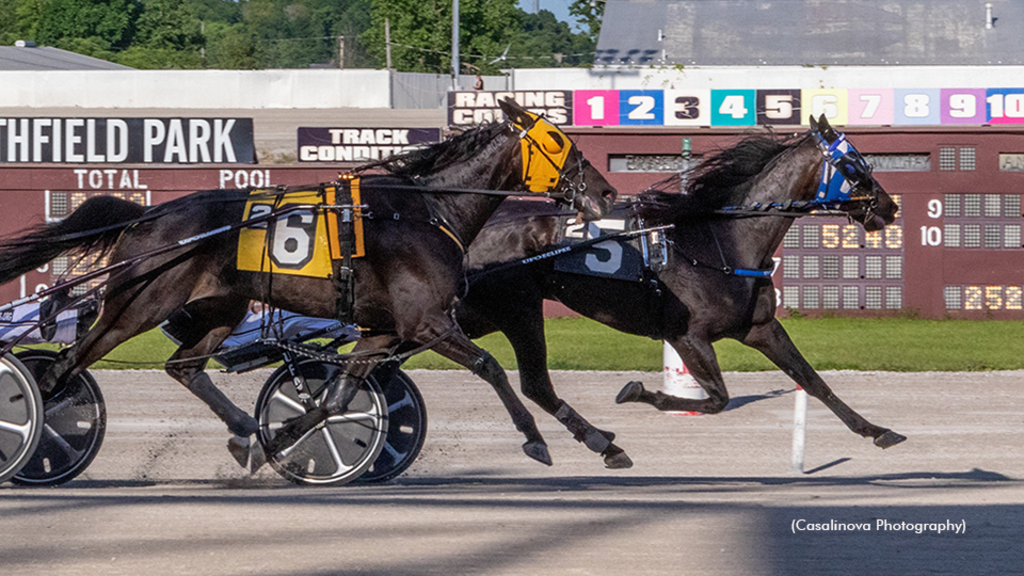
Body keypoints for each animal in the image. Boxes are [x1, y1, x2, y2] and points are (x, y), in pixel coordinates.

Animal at [0, 97, 614, 467]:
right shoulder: (428, 321)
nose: (607, 193)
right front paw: (536, 439)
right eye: (558, 143)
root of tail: (148, 214)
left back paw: (243, 427)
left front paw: (284, 438)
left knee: (184, 366)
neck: (425, 210)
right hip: (138, 302)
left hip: (220, 305)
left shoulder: (384, 331)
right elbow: (490, 367)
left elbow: (335, 396)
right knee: (64, 365)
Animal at [460, 114, 909, 463]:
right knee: (526, 379)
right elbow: (717, 399)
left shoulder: (760, 328)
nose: (889, 207)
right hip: (516, 311)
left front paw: (876, 430)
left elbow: (813, 380)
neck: (724, 240)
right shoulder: (688, 336)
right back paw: (596, 443)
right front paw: (637, 391)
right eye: (853, 163)